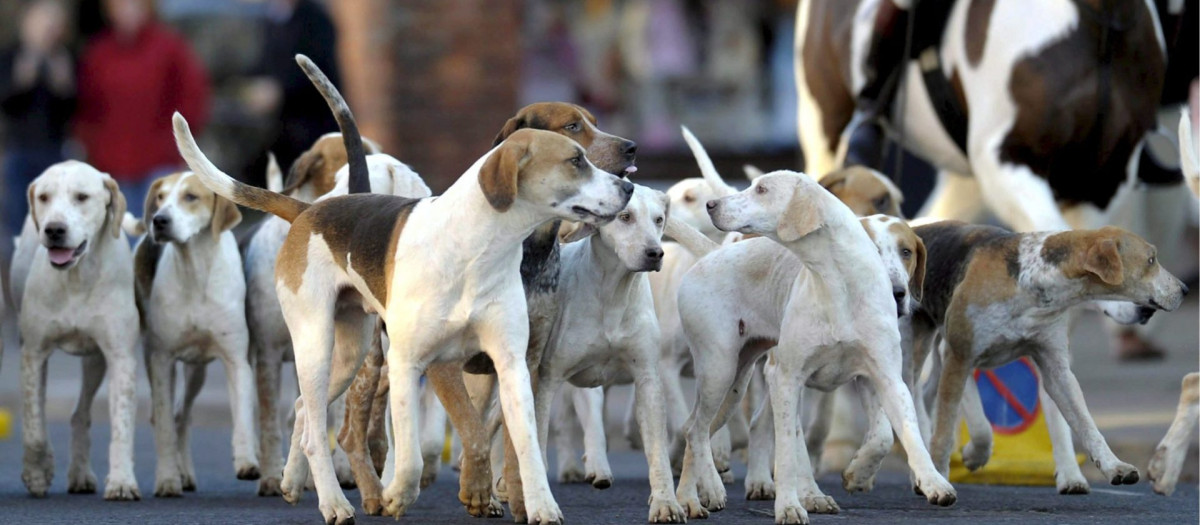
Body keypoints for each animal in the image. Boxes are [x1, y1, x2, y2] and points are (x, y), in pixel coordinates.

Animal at [174, 60, 633, 525]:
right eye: (575, 155)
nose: (629, 186)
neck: (478, 248)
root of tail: (311, 209)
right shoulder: (420, 362)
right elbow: (422, 450)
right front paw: (402, 495)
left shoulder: (514, 363)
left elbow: (522, 445)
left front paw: (538, 505)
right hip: (320, 345)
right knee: (321, 430)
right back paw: (336, 502)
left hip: (350, 352)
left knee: (305, 409)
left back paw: (290, 480)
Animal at [907, 221, 1190, 489]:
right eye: (1151, 259)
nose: (1186, 289)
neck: (1031, 284)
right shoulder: (960, 357)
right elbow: (947, 433)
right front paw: (942, 473)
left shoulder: (1056, 369)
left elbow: (1087, 425)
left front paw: (1113, 466)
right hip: (914, 355)